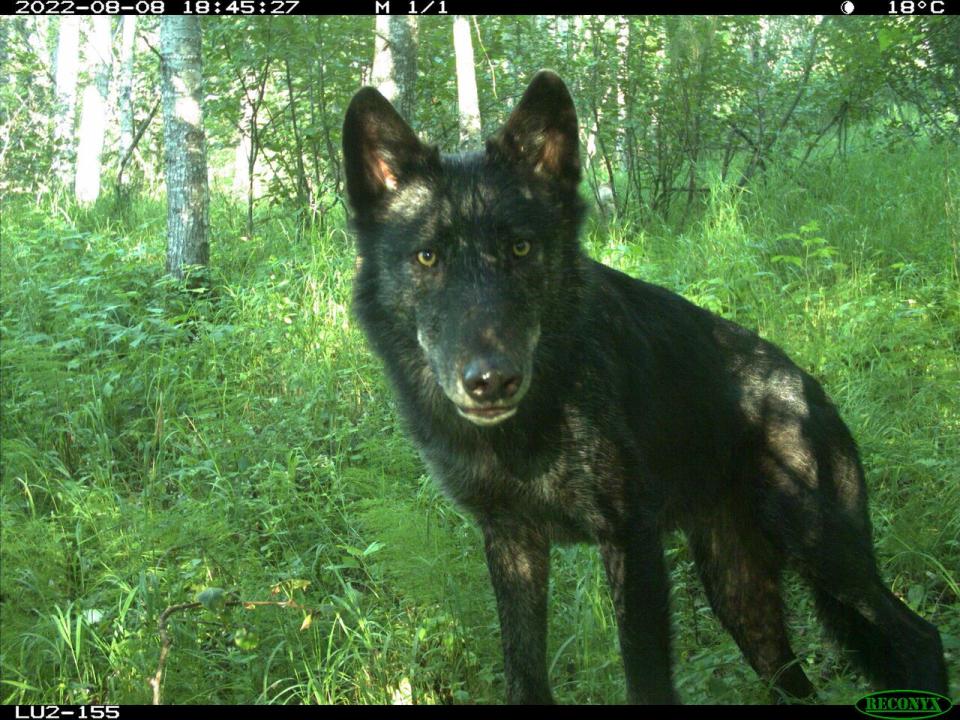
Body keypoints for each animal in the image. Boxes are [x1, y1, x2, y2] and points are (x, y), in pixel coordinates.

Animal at [342, 71, 948, 704]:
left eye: (520, 248)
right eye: (427, 257)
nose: (492, 380)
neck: (523, 430)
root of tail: (812, 389)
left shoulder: (630, 538)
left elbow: (646, 677)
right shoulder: (512, 541)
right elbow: (526, 676)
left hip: (821, 550)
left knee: (920, 637)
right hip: (741, 599)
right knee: (797, 682)